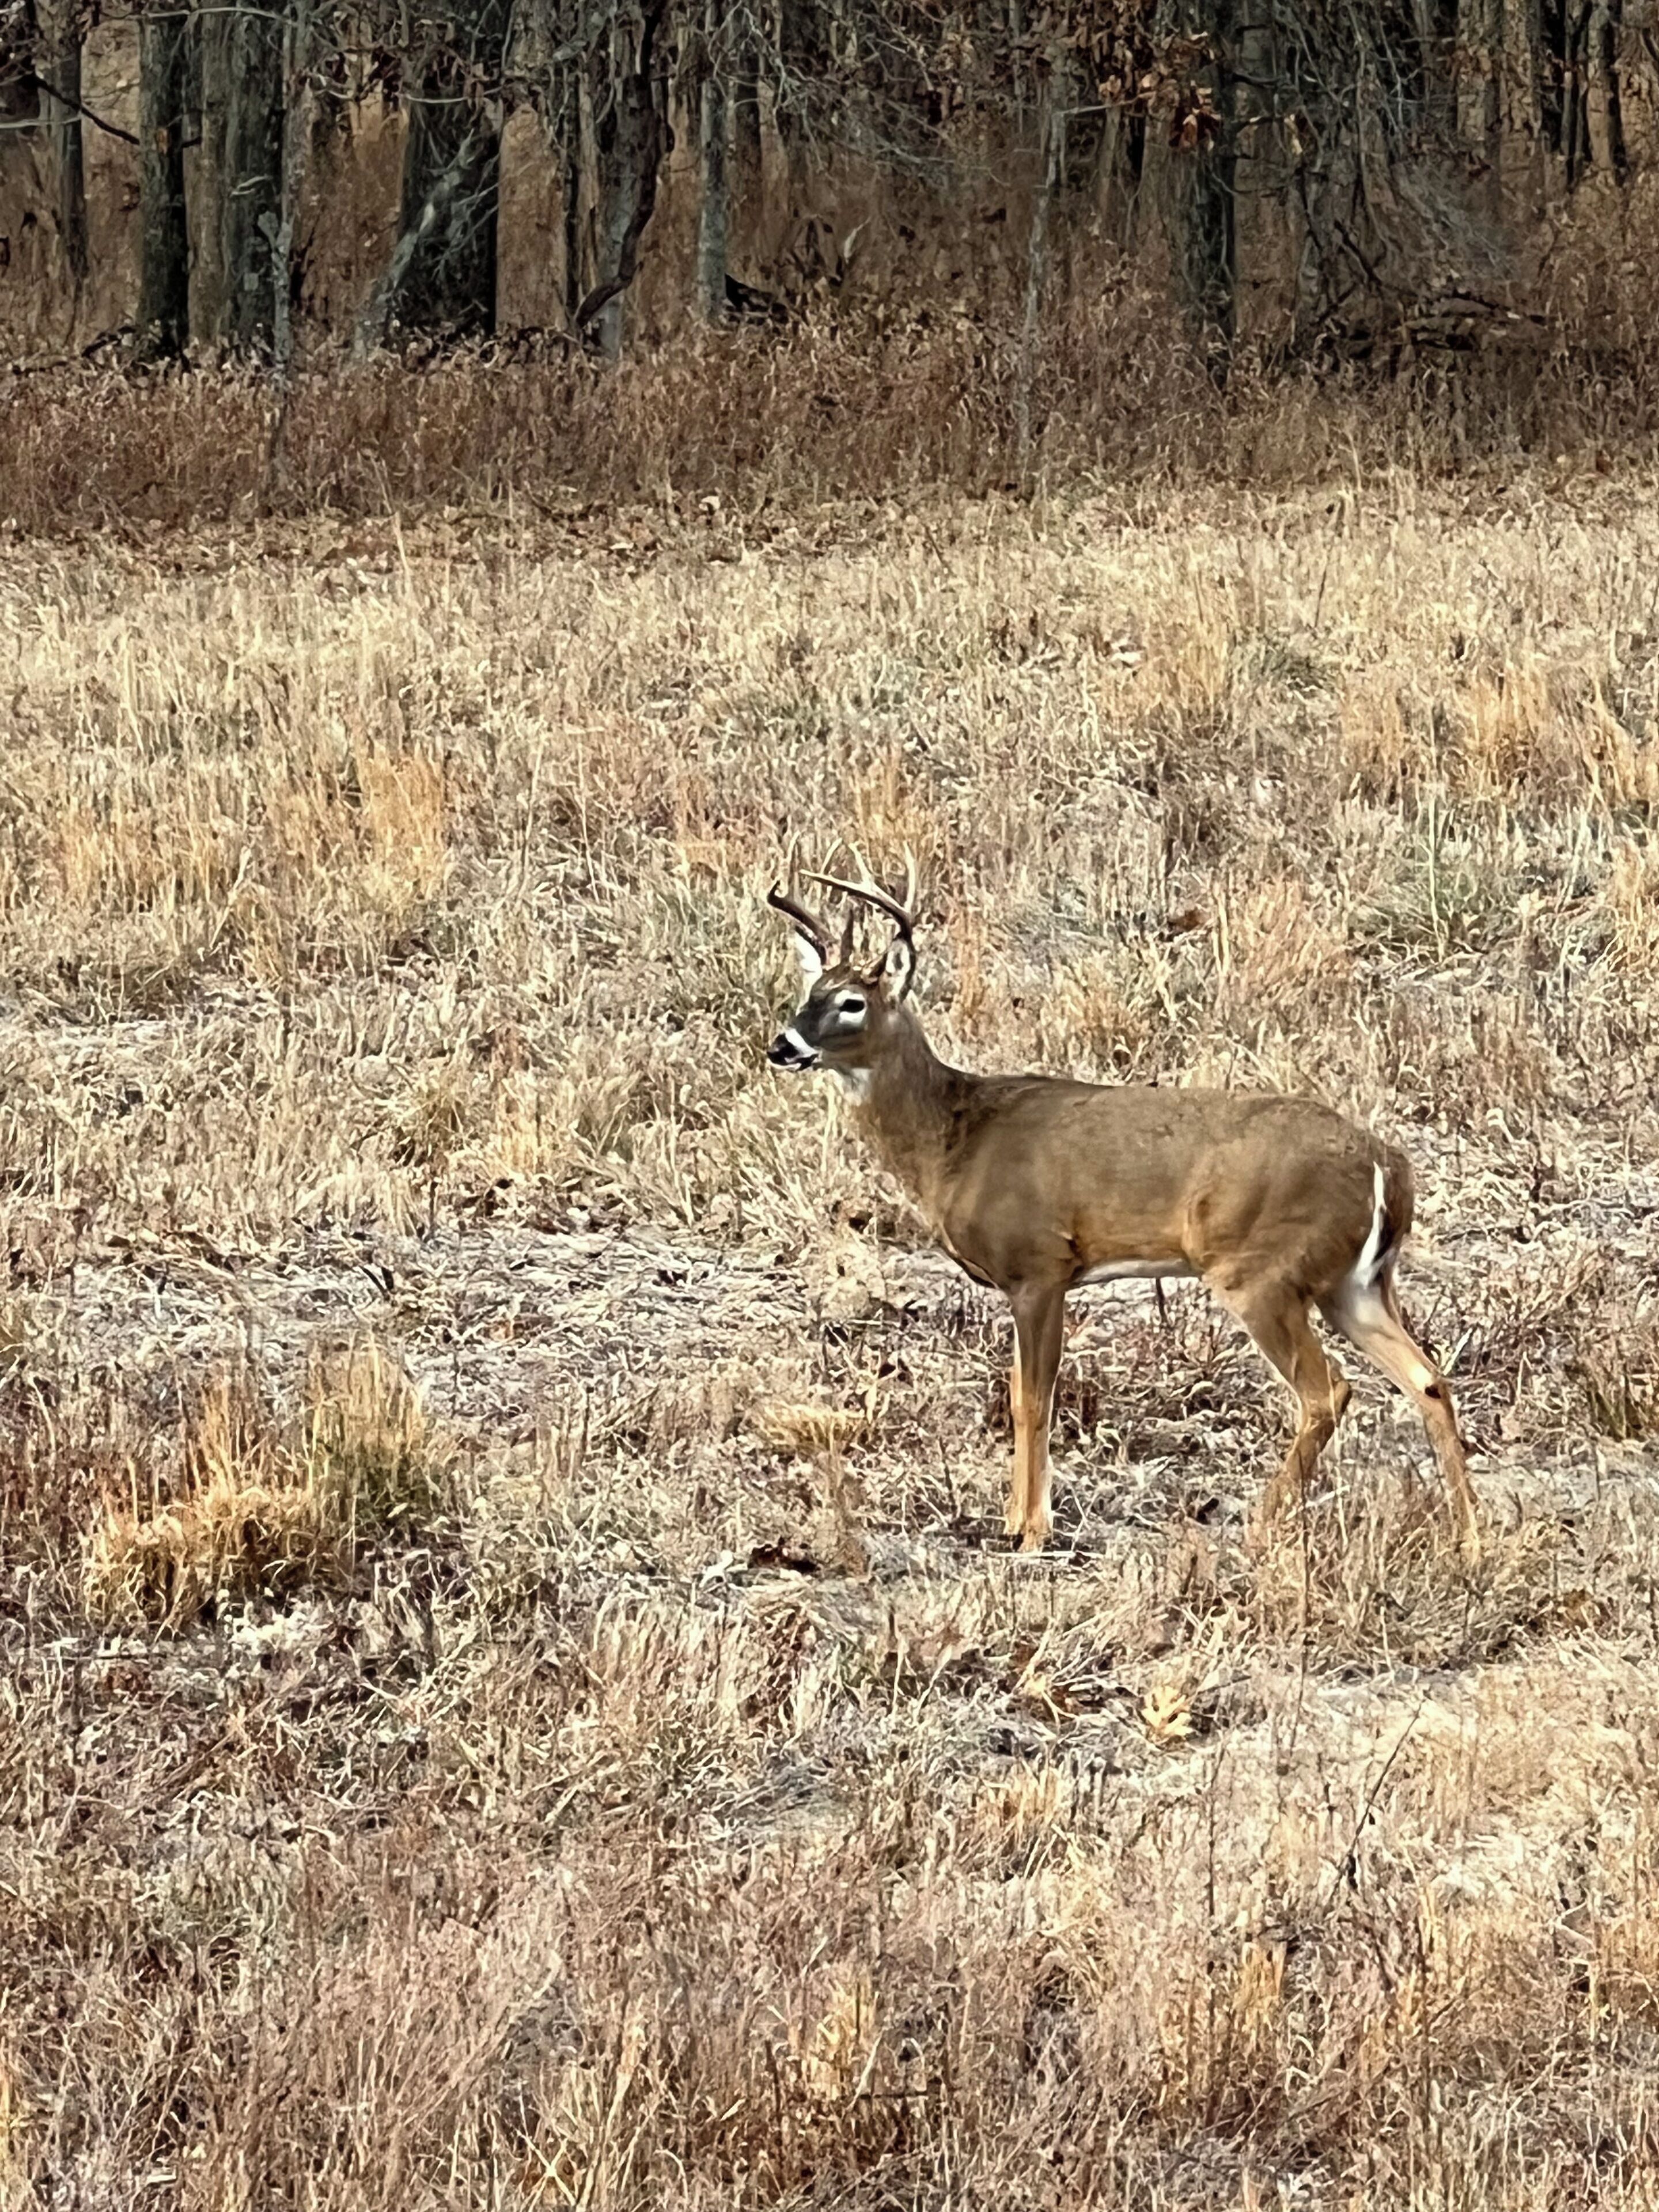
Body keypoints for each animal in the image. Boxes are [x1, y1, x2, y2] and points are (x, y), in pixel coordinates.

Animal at [765, 854, 1479, 1559]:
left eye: (852, 1002)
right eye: (808, 993)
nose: (783, 1045)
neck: (955, 1141)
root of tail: (1386, 1163)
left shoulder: (1040, 1265)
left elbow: (1033, 1398)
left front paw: (1032, 1532)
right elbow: (1021, 1394)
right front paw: (1012, 1521)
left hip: (1261, 1272)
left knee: (1327, 1391)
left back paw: (1262, 1523)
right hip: (1352, 1283)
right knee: (1427, 1378)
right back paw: (1466, 1537)